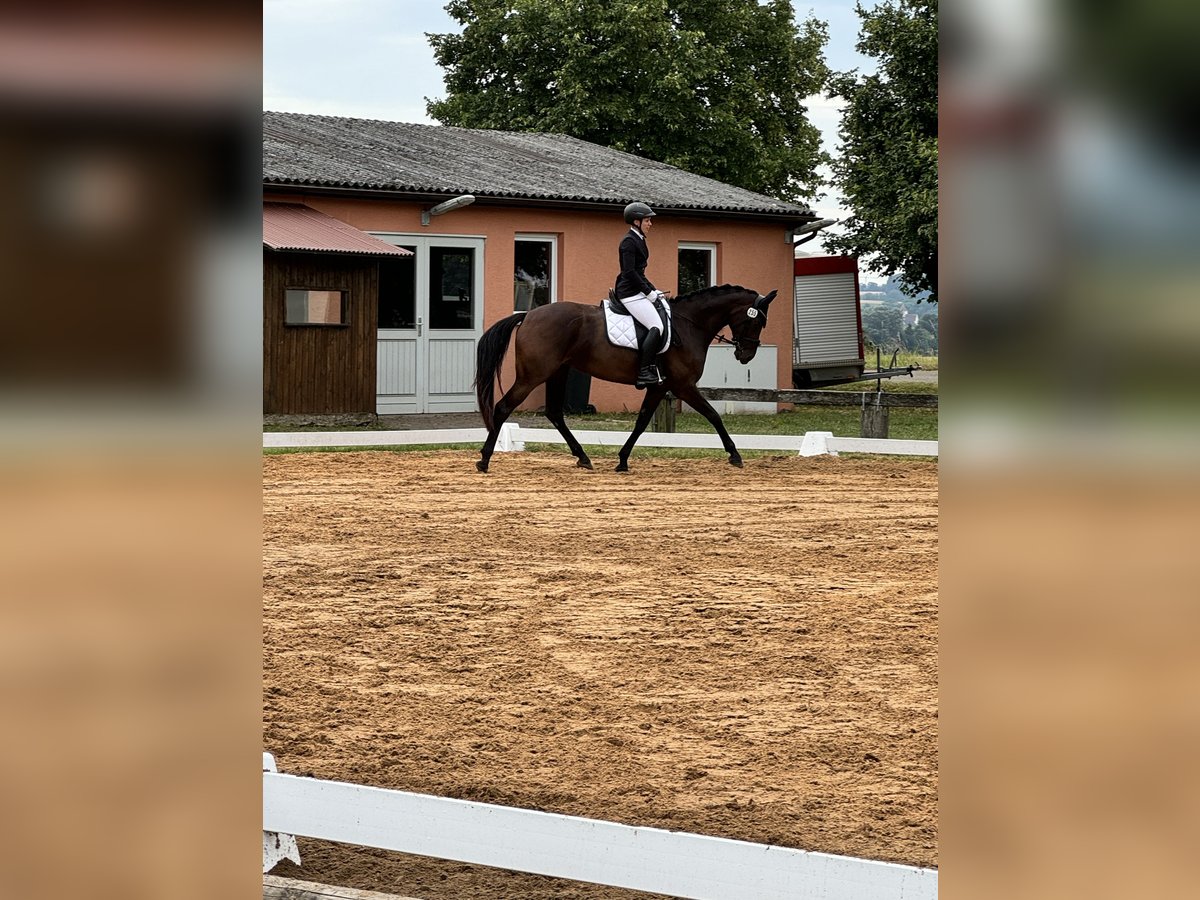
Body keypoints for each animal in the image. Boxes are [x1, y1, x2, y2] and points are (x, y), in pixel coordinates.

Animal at [468, 285, 777, 475]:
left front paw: (622, 460)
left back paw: (583, 457)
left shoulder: (660, 387)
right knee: (503, 408)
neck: (689, 324)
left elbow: (641, 422)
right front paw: (735, 455)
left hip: (557, 373)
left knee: (555, 413)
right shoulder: (682, 386)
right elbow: (713, 415)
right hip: (534, 374)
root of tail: (528, 314)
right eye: (757, 321)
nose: (746, 355)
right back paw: (484, 459)